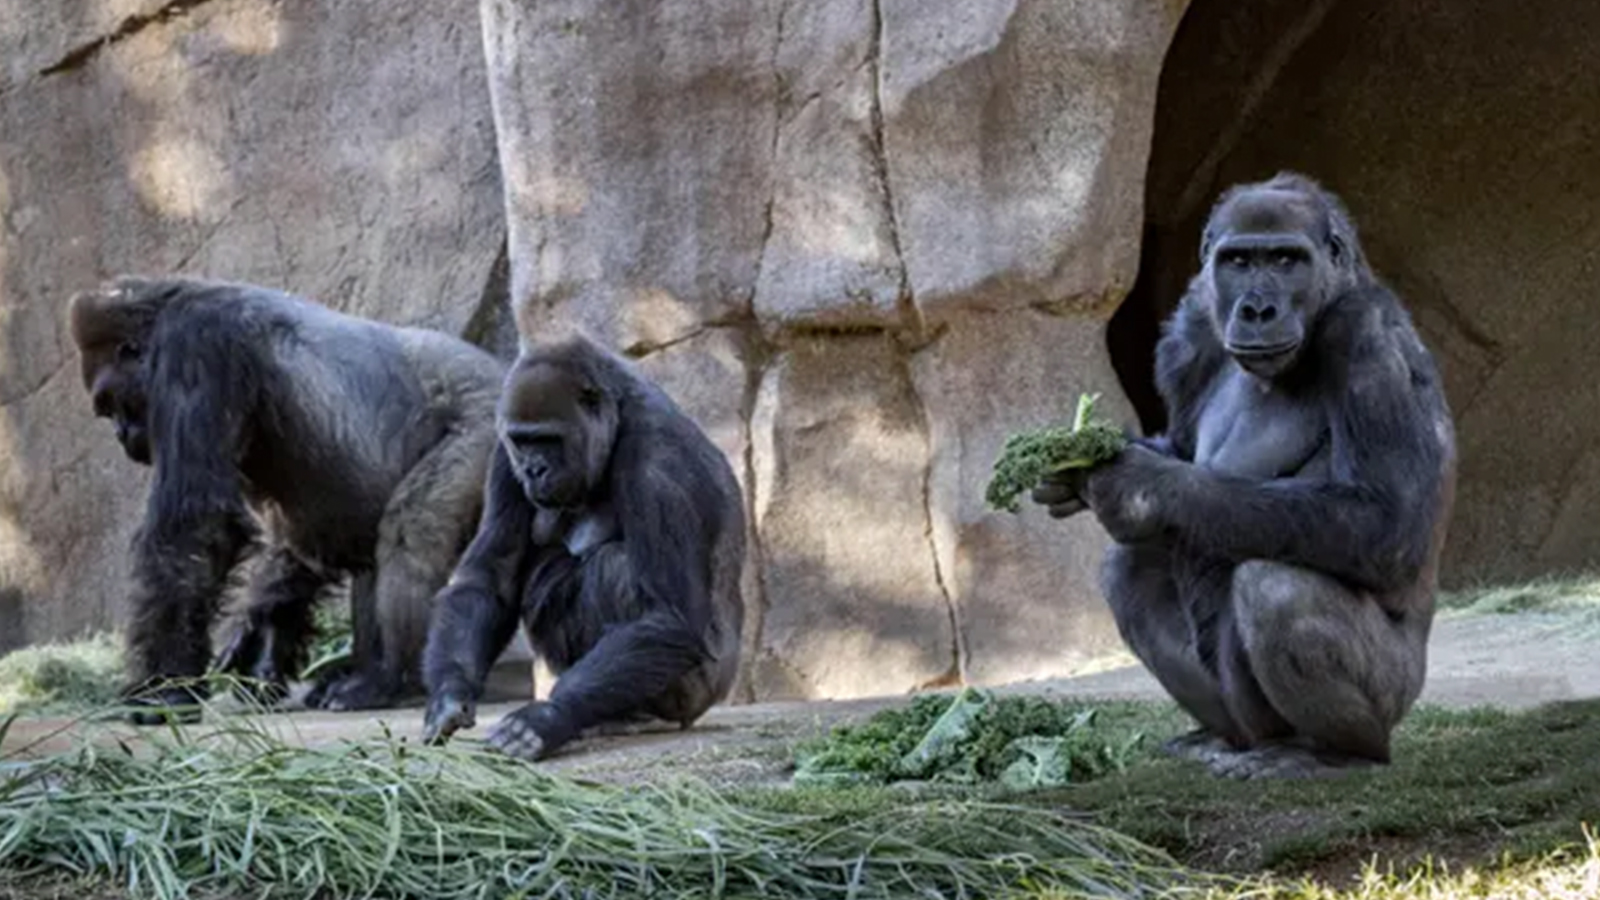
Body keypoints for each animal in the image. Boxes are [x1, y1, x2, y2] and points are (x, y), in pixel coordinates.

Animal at [67, 275, 505, 720]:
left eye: (111, 402)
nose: (122, 435)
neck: (167, 308)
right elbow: (312, 534)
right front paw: (260, 634)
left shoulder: (196, 345)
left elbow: (196, 526)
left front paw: (165, 685)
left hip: (485, 423)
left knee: (410, 531)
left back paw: (385, 675)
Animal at [425, 334, 748, 755]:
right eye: (522, 441)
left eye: (548, 439)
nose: (534, 470)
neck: (617, 418)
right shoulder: (503, 457)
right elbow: (489, 579)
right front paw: (449, 694)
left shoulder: (659, 461)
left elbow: (667, 616)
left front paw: (548, 717)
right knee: (548, 573)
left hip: (699, 694)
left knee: (613, 567)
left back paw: (640, 715)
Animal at [1030, 171, 1459, 775]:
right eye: (1238, 261)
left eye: (1285, 260)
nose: (1258, 309)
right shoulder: (1191, 331)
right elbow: (1181, 446)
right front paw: (1074, 467)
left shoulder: (1367, 334)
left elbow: (1387, 518)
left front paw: (1139, 488)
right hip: (1240, 715)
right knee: (1130, 569)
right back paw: (1220, 738)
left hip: (1398, 694)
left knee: (1277, 586)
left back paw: (1335, 753)